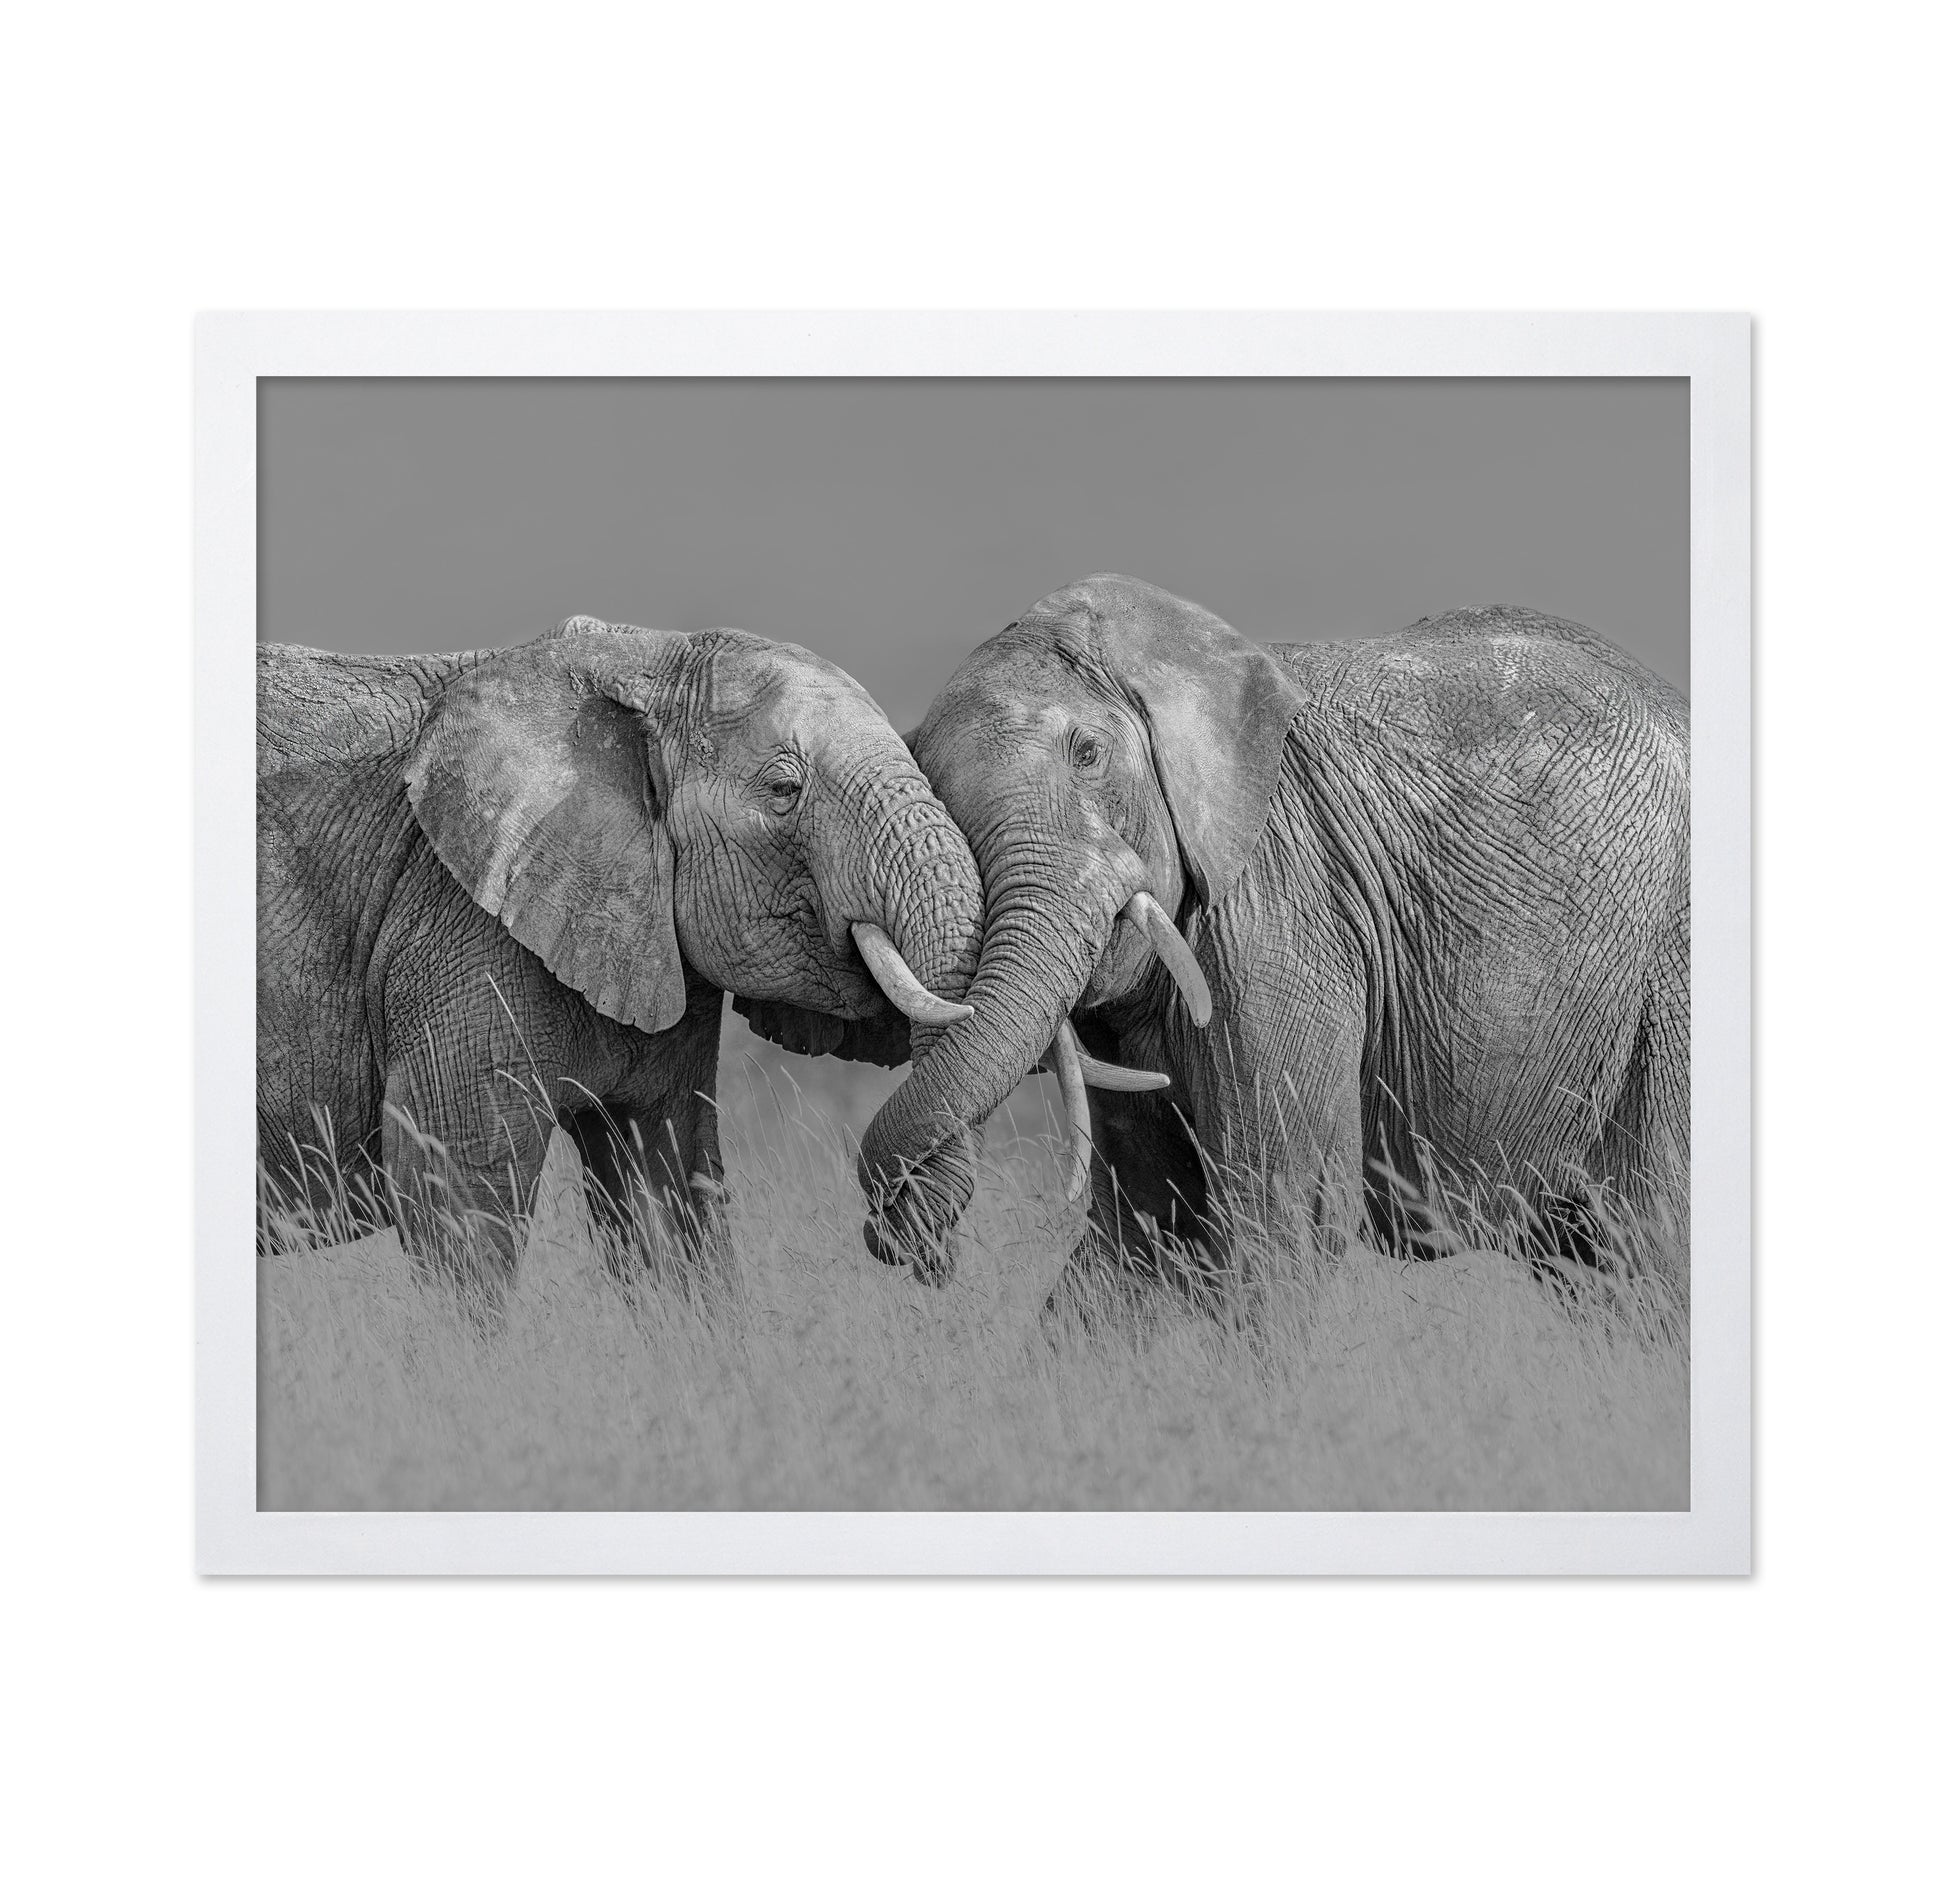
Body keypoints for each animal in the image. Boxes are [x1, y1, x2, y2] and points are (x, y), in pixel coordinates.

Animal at [257, 614, 983, 1277]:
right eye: (784, 791)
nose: (906, 1243)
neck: (643, 660)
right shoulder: (457, 925)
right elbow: (458, 1201)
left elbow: (667, 1193)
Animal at [843, 574, 1689, 1290]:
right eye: (932, 788)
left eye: (1087, 753)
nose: (923, 1253)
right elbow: (1143, 1231)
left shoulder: (1282, 904)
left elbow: (1282, 1216)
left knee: (1652, 1244)